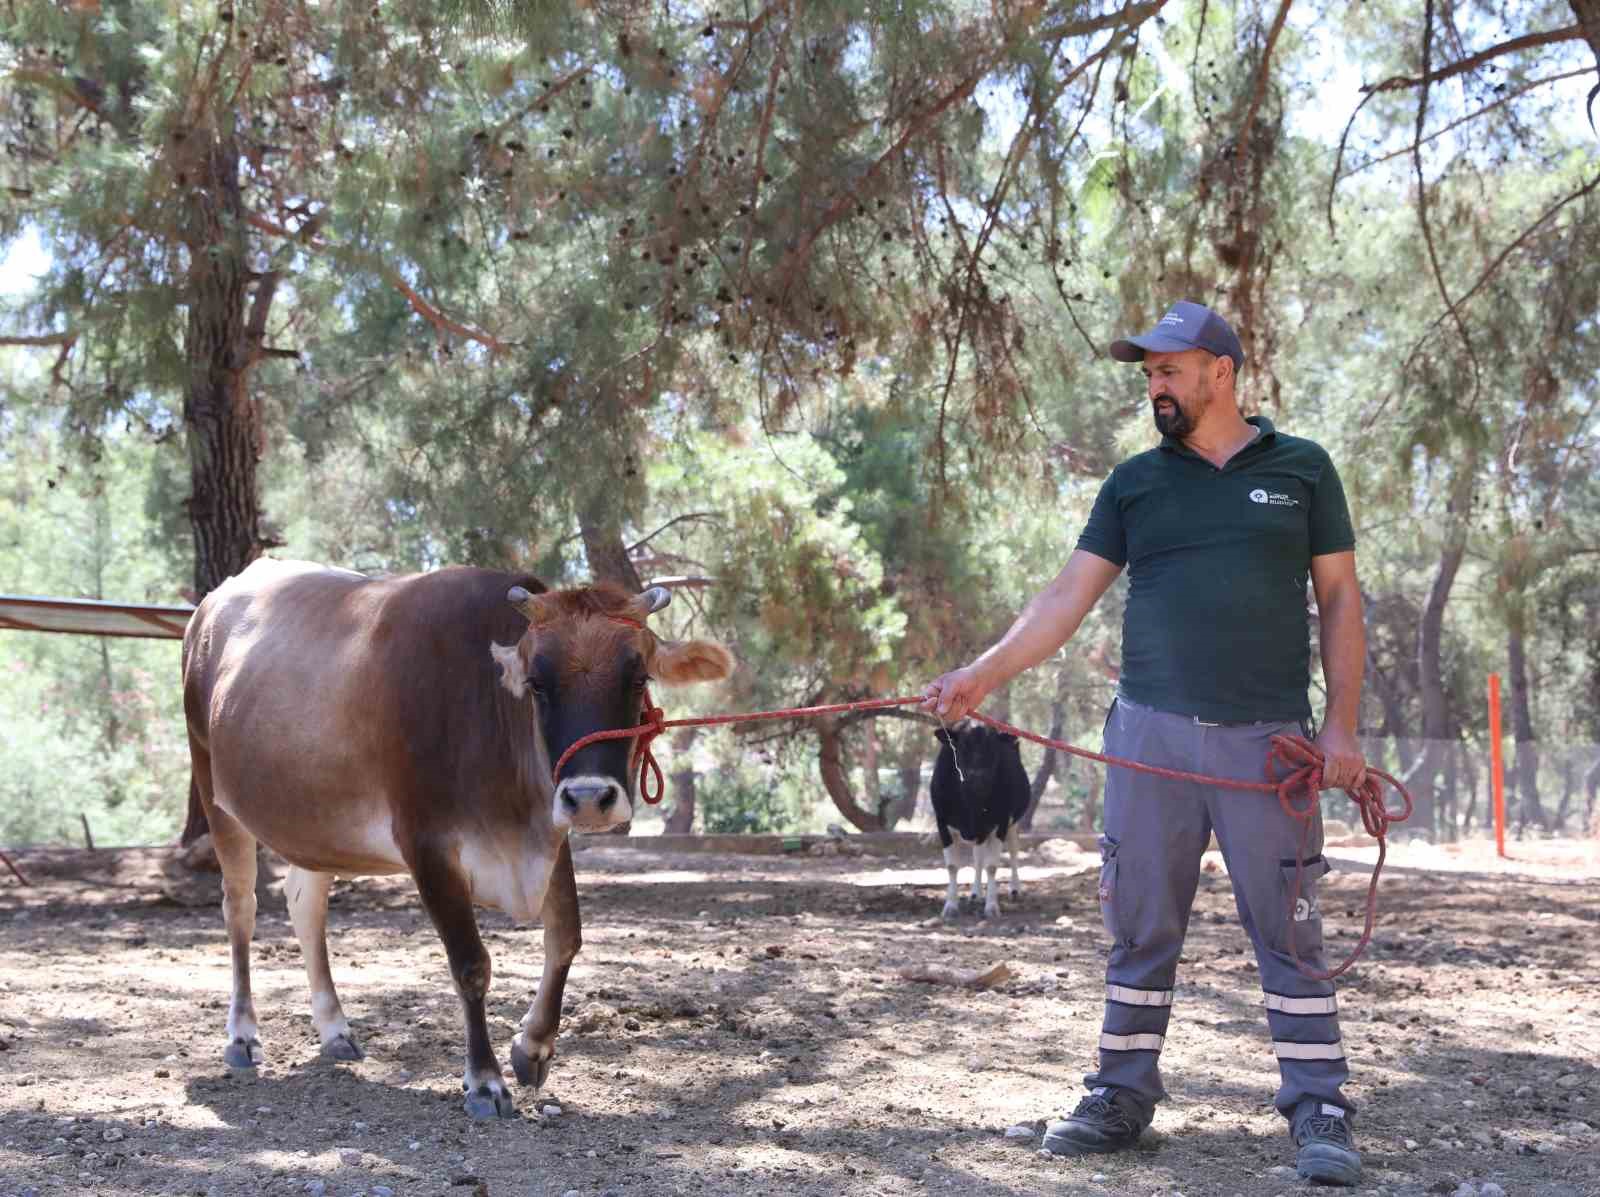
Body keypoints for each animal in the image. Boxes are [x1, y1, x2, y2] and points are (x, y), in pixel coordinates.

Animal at [181, 556, 732, 1120]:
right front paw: (485, 1081)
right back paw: (243, 1035)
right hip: (213, 788)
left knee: (304, 903)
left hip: (313, 822)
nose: (588, 797)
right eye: (537, 683)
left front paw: (532, 1047)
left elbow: (565, 938)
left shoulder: (548, 837)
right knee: (241, 908)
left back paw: (334, 1029)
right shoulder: (427, 844)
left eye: (637, 676)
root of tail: (213, 603)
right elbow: (471, 964)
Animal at [934, 720, 1030, 915]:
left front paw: (992, 906)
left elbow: (992, 866)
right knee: (978, 858)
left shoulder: (1001, 823)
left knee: (1013, 852)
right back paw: (975, 893)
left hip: (1012, 824)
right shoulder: (942, 822)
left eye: (993, 746)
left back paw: (1015, 889)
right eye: (962, 746)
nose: (978, 778)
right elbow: (952, 866)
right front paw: (950, 905)